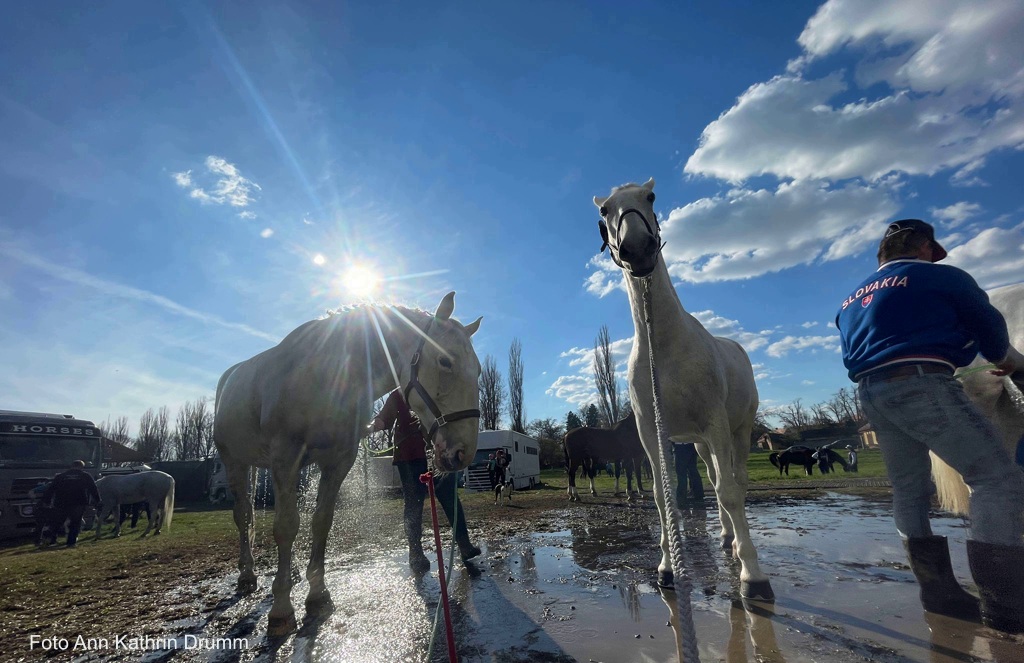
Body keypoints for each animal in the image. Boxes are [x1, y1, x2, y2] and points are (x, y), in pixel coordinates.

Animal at [212, 293, 483, 635]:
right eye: (445, 361)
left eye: (477, 369)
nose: (464, 453)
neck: (326, 375)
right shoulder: (285, 457)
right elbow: (285, 527)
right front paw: (282, 609)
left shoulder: (338, 461)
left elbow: (320, 522)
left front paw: (317, 595)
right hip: (235, 462)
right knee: (244, 517)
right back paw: (248, 575)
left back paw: (293, 570)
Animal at [593, 177, 774, 602]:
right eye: (605, 210)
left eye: (650, 197)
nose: (638, 249)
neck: (665, 350)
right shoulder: (652, 433)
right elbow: (664, 496)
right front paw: (666, 568)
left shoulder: (716, 424)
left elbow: (729, 491)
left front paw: (753, 576)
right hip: (700, 443)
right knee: (712, 476)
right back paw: (725, 536)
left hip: (737, 431)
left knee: (734, 480)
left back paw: (738, 545)